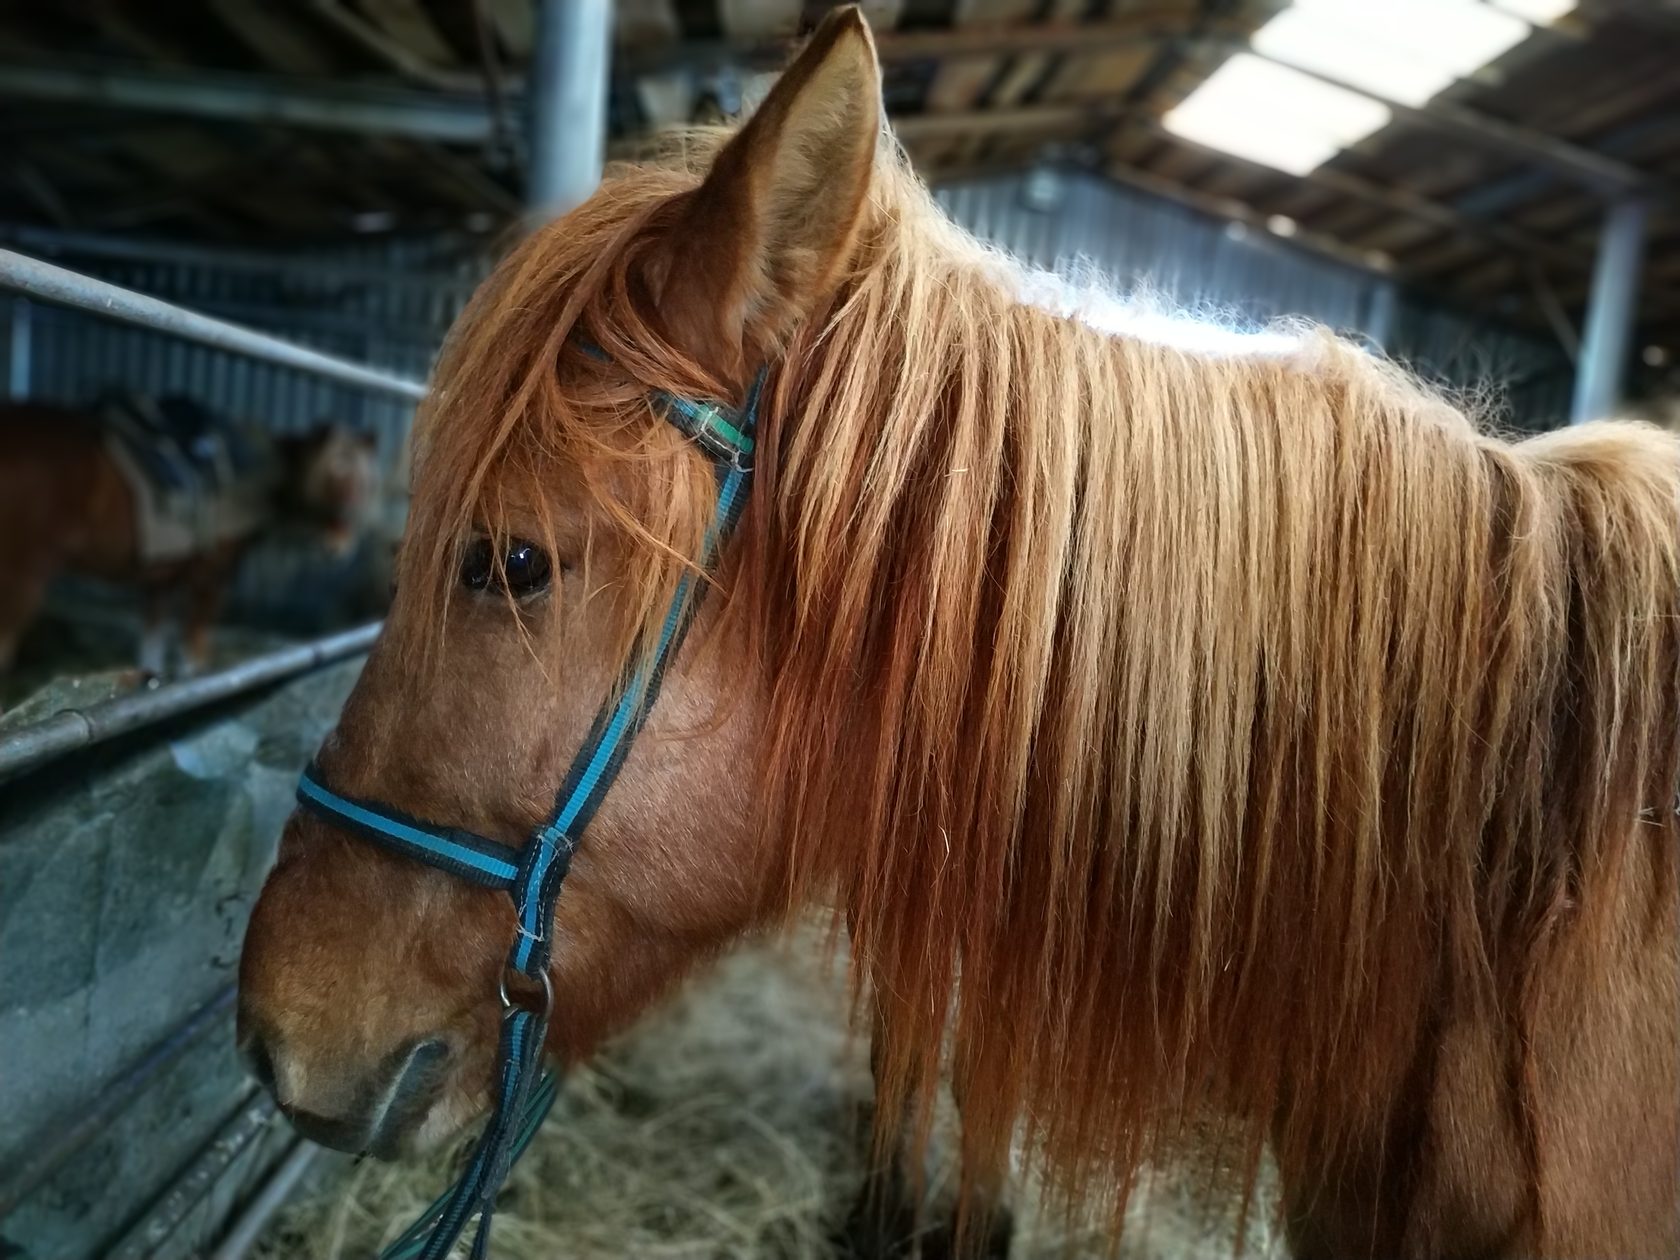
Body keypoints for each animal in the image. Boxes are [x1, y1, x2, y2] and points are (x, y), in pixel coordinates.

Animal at [0, 401, 379, 682]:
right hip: (24, 576)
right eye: (334, 473)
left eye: (367, 481)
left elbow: (152, 640)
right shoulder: (211, 576)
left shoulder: (161, 578)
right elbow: (193, 641)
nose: (339, 548)